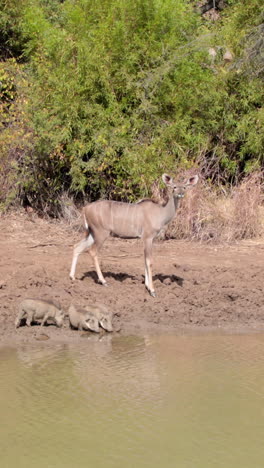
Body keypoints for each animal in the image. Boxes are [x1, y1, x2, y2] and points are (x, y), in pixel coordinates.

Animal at [69, 172, 198, 296]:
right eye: (174, 187)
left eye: (185, 187)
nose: (180, 194)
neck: (160, 213)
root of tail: (85, 209)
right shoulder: (147, 237)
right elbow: (149, 261)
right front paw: (152, 290)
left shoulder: (148, 239)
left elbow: (145, 259)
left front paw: (147, 286)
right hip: (101, 233)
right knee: (92, 251)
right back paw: (104, 281)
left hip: (91, 233)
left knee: (77, 247)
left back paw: (72, 277)